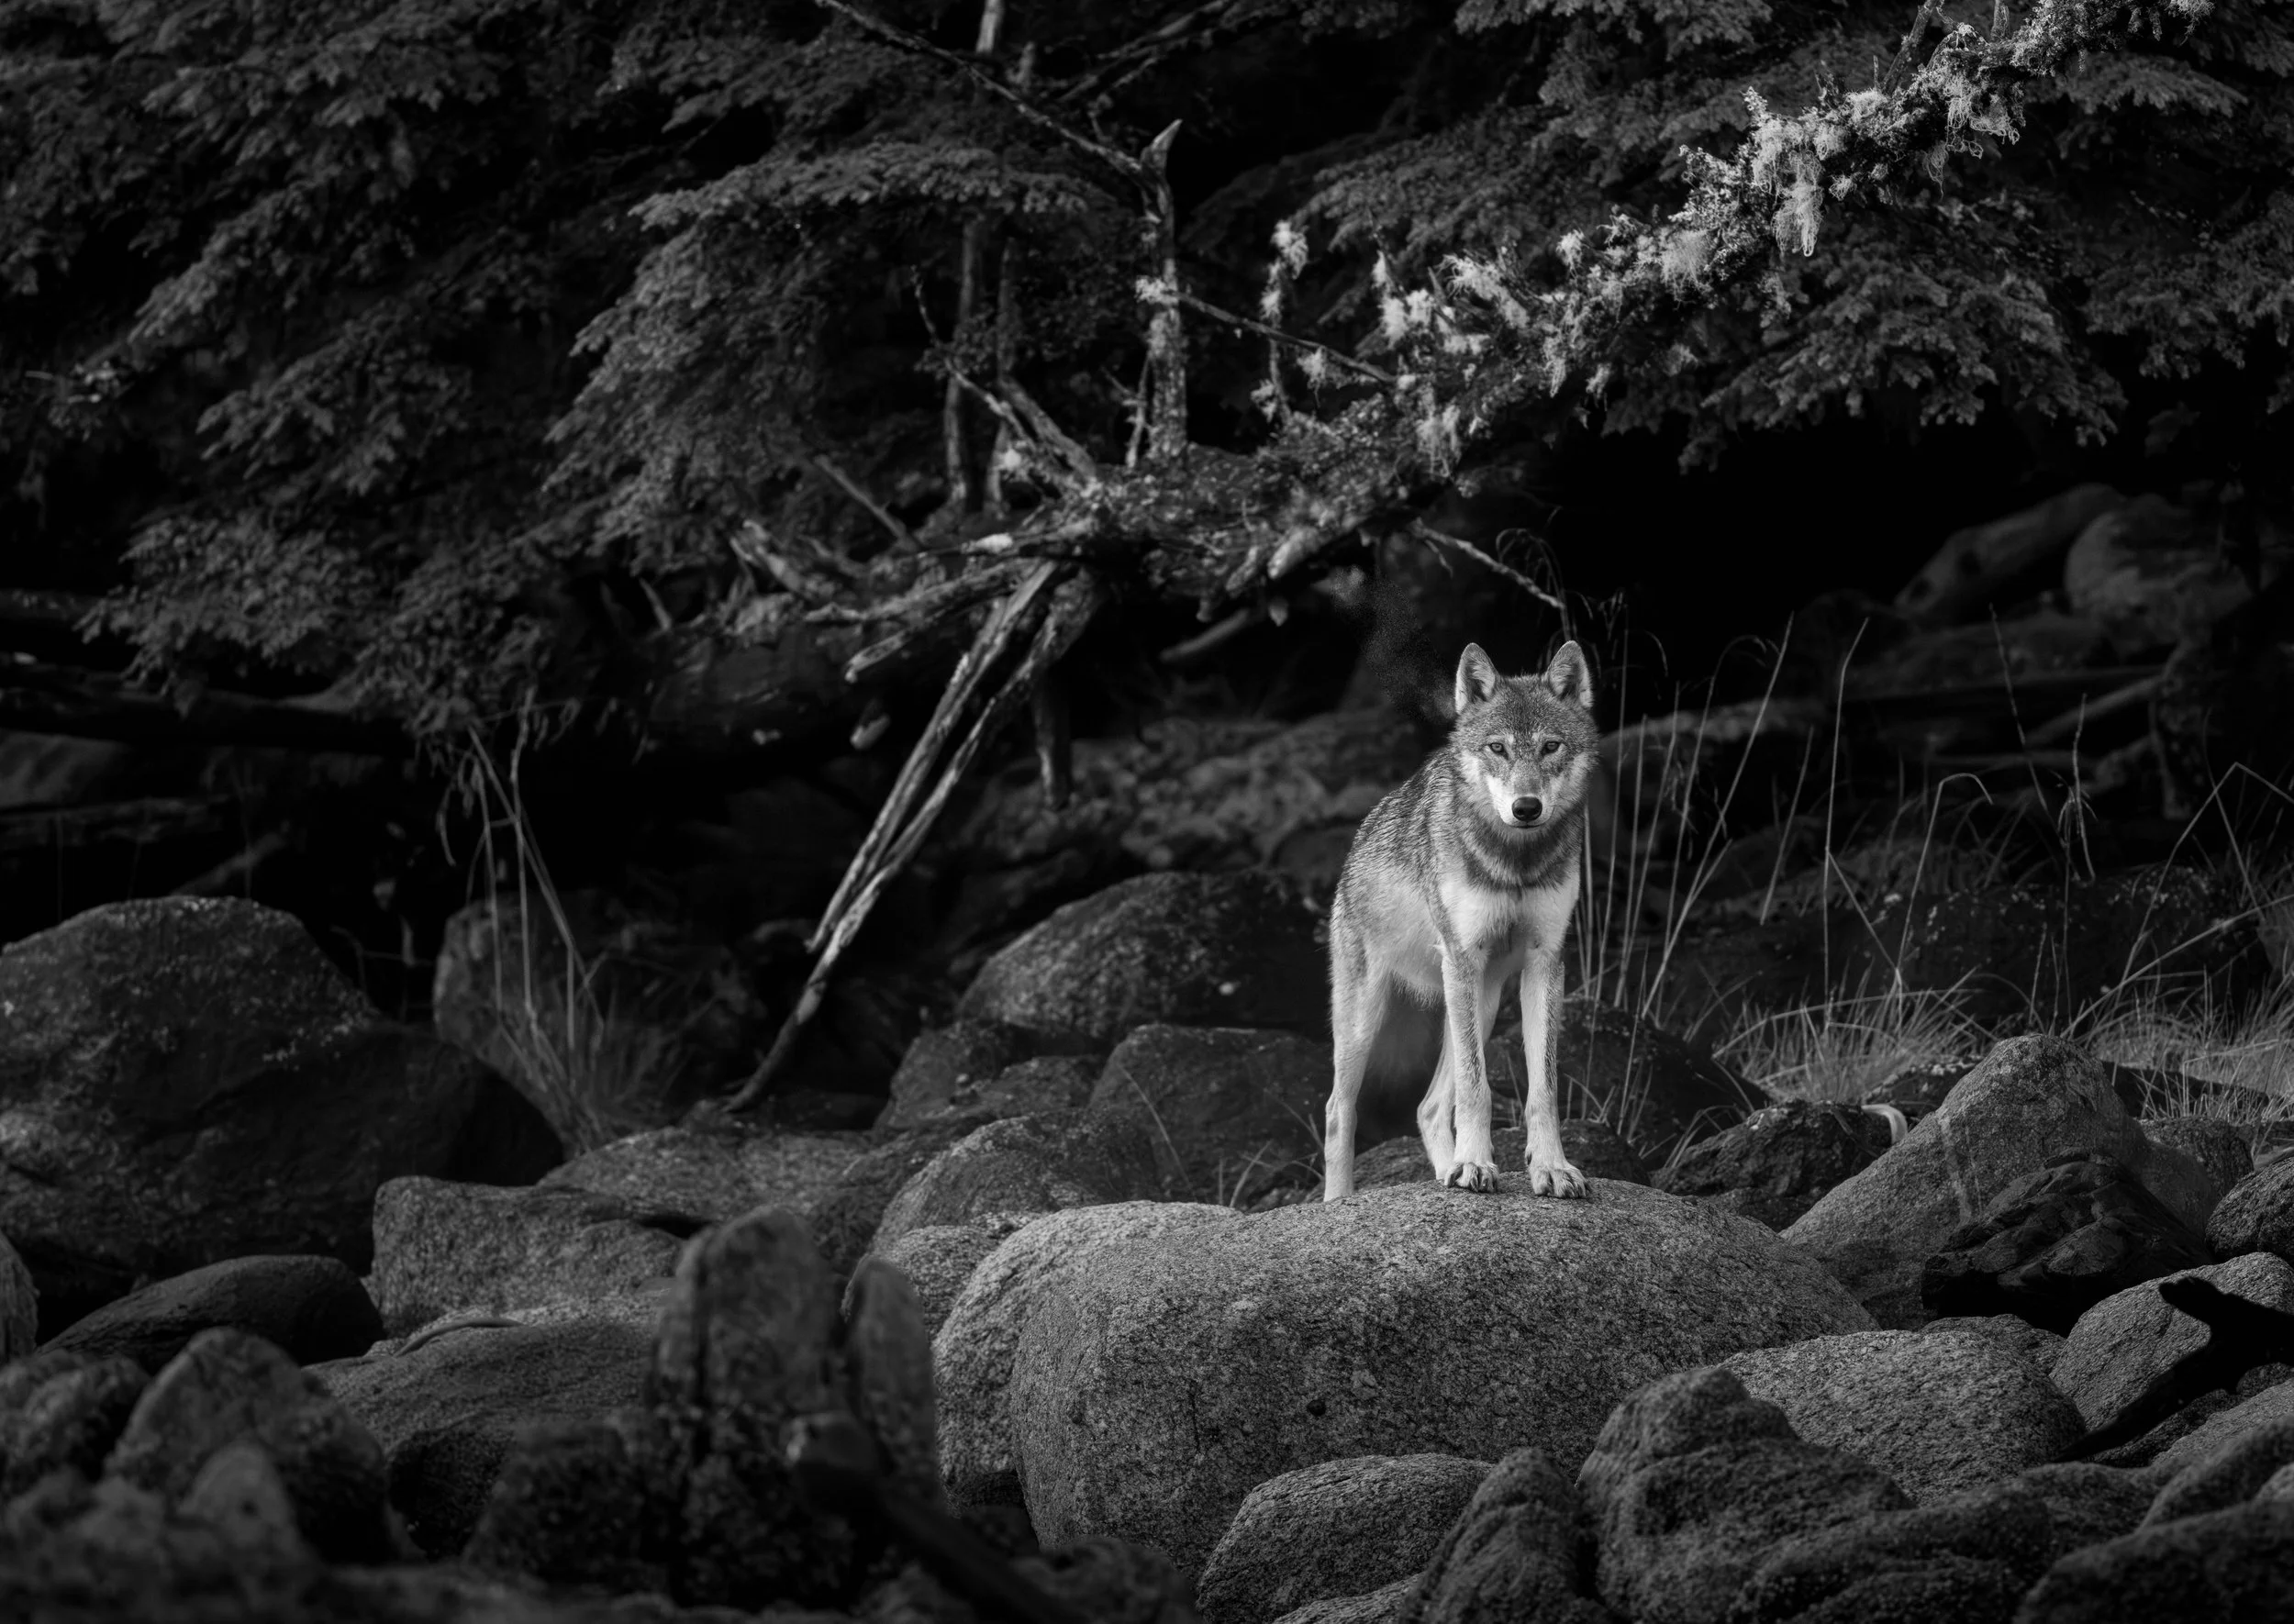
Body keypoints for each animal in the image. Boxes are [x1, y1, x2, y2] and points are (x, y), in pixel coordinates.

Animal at [1322, 640, 1600, 1201]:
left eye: (1550, 747)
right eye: (1497, 749)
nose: (1526, 807)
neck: (1515, 863)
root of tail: (1357, 841)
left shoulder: (1546, 963)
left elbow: (1543, 1090)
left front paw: (1552, 1168)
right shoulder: (1463, 957)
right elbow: (1477, 1088)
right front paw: (1474, 1165)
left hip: (1483, 1001)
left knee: (1429, 1107)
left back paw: (1444, 1170)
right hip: (1370, 1017)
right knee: (1338, 1111)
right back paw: (1338, 1201)